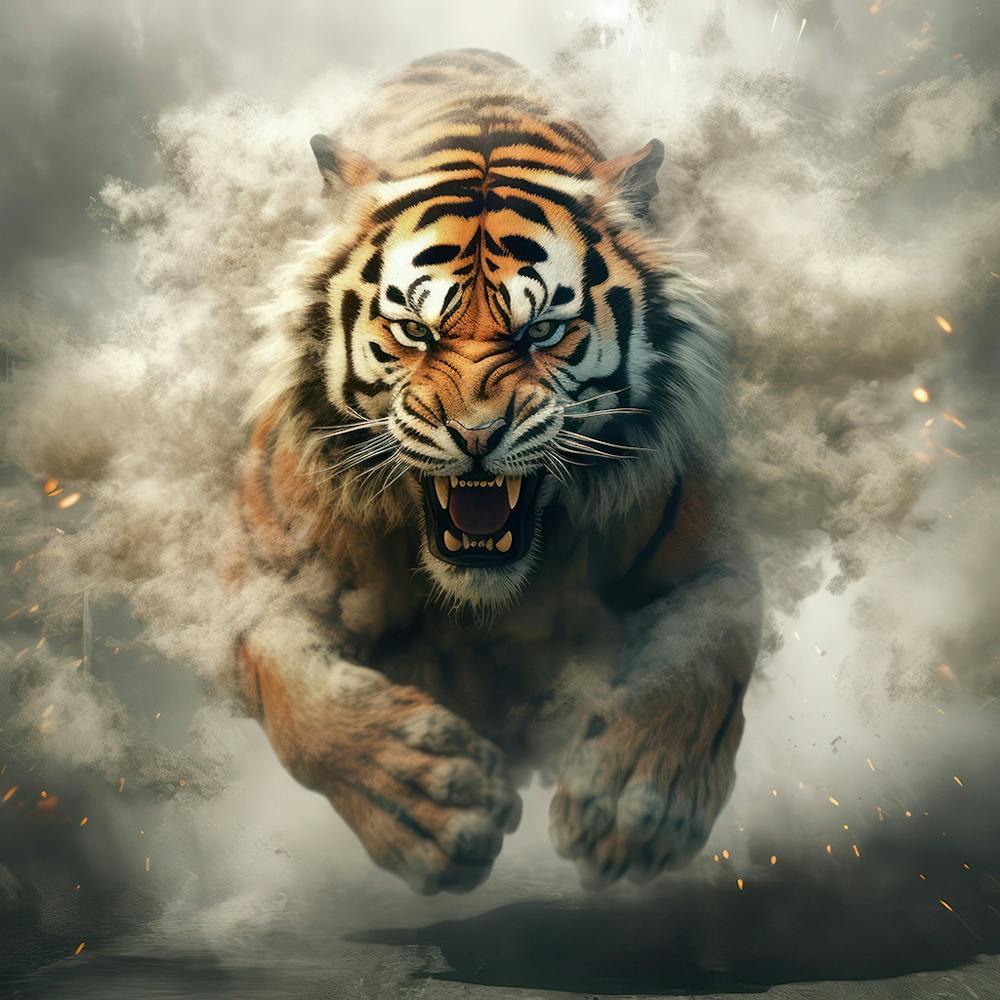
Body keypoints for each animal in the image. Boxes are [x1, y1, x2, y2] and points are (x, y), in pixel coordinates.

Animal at [229, 48, 761, 894]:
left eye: (541, 331)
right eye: (414, 331)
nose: (476, 435)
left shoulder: (714, 563)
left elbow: (700, 665)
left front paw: (634, 804)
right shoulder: (259, 581)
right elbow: (299, 693)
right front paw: (428, 800)